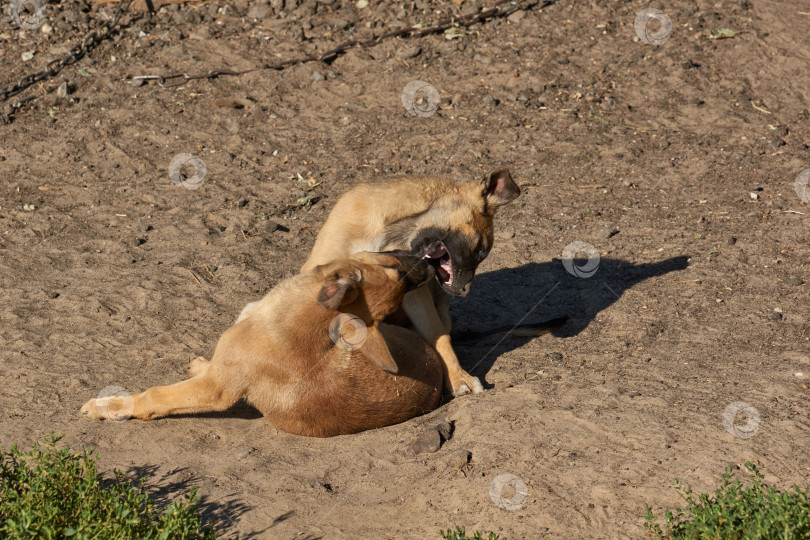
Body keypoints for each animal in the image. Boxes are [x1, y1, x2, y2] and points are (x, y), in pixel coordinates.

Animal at [82, 251, 442, 436]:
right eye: (393, 267)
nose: (430, 265)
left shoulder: (215, 390)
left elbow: (156, 396)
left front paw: (107, 406)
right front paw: (200, 362)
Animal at [300, 169, 520, 396]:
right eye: (478, 250)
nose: (464, 290)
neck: (393, 232)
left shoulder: (416, 294)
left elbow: (438, 335)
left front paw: (459, 377)